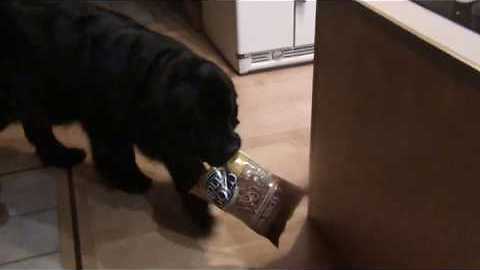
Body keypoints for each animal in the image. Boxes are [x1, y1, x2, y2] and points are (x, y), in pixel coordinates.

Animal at [0, 1, 240, 230]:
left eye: (231, 116)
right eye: (203, 124)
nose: (233, 148)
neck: (148, 78)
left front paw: (199, 207)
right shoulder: (111, 128)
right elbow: (120, 155)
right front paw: (131, 180)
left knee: (38, 130)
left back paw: (62, 155)